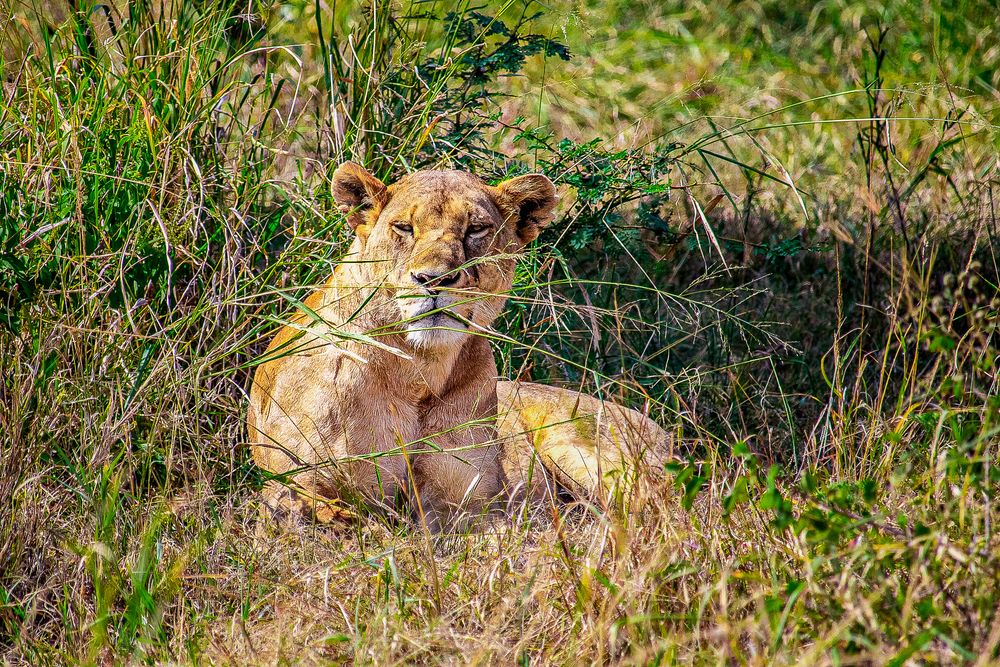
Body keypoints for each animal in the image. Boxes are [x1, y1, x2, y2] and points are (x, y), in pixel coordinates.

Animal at [247, 162, 669, 531]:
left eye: (476, 230)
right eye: (404, 228)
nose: (434, 279)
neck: (420, 370)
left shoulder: (472, 504)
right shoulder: (297, 487)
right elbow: (343, 519)